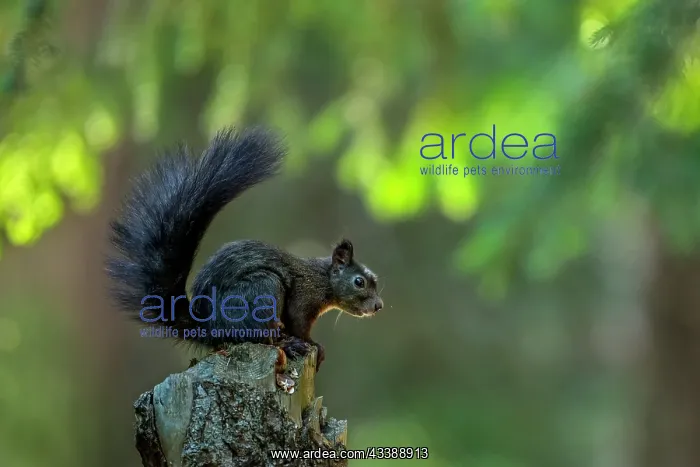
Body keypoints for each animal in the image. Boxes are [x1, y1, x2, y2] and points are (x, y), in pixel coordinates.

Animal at [105, 127, 383, 374]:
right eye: (359, 282)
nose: (379, 306)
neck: (323, 278)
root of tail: (209, 326)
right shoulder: (303, 298)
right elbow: (299, 324)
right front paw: (312, 344)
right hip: (262, 289)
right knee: (256, 334)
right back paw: (287, 344)